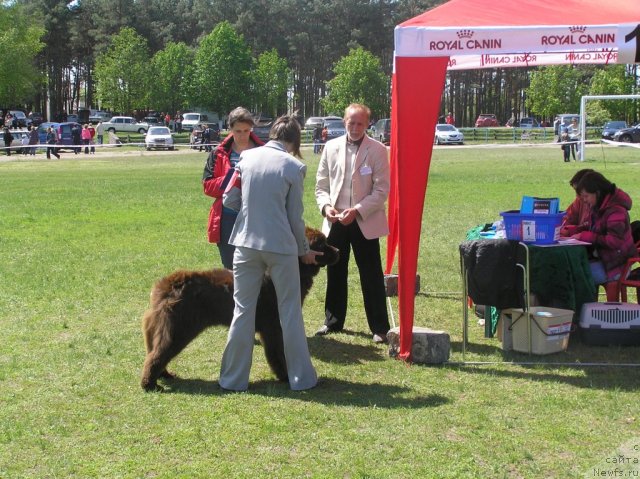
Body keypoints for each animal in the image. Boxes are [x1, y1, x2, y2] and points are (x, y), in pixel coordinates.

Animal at [142, 230, 338, 394]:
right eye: (322, 244)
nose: (338, 250)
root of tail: (166, 285)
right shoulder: (273, 327)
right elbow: (277, 353)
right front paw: (286, 376)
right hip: (179, 328)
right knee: (157, 355)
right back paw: (150, 384)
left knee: (154, 352)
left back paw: (164, 375)